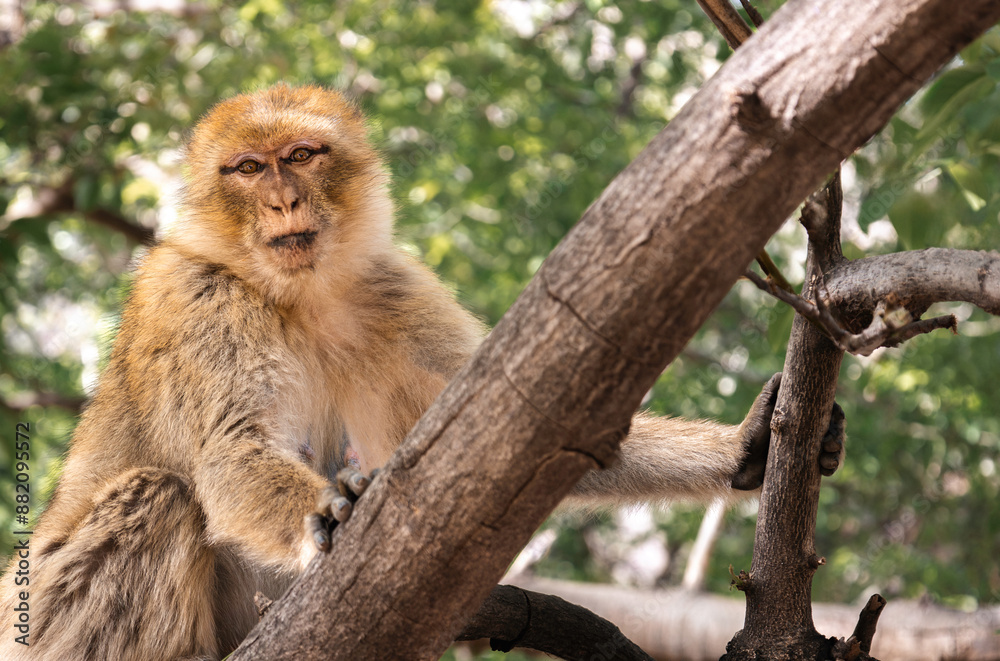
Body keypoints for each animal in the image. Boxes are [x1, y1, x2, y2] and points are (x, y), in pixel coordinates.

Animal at [0, 84, 844, 660]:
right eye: (244, 169)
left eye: (301, 156)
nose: (280, 200)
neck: (297, 297)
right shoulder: (200, 298)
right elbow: (229, 449)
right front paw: (331, 512)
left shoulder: (391, 290)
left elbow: (537, 429)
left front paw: (747, 448)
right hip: (46, 615)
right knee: (160, 494)